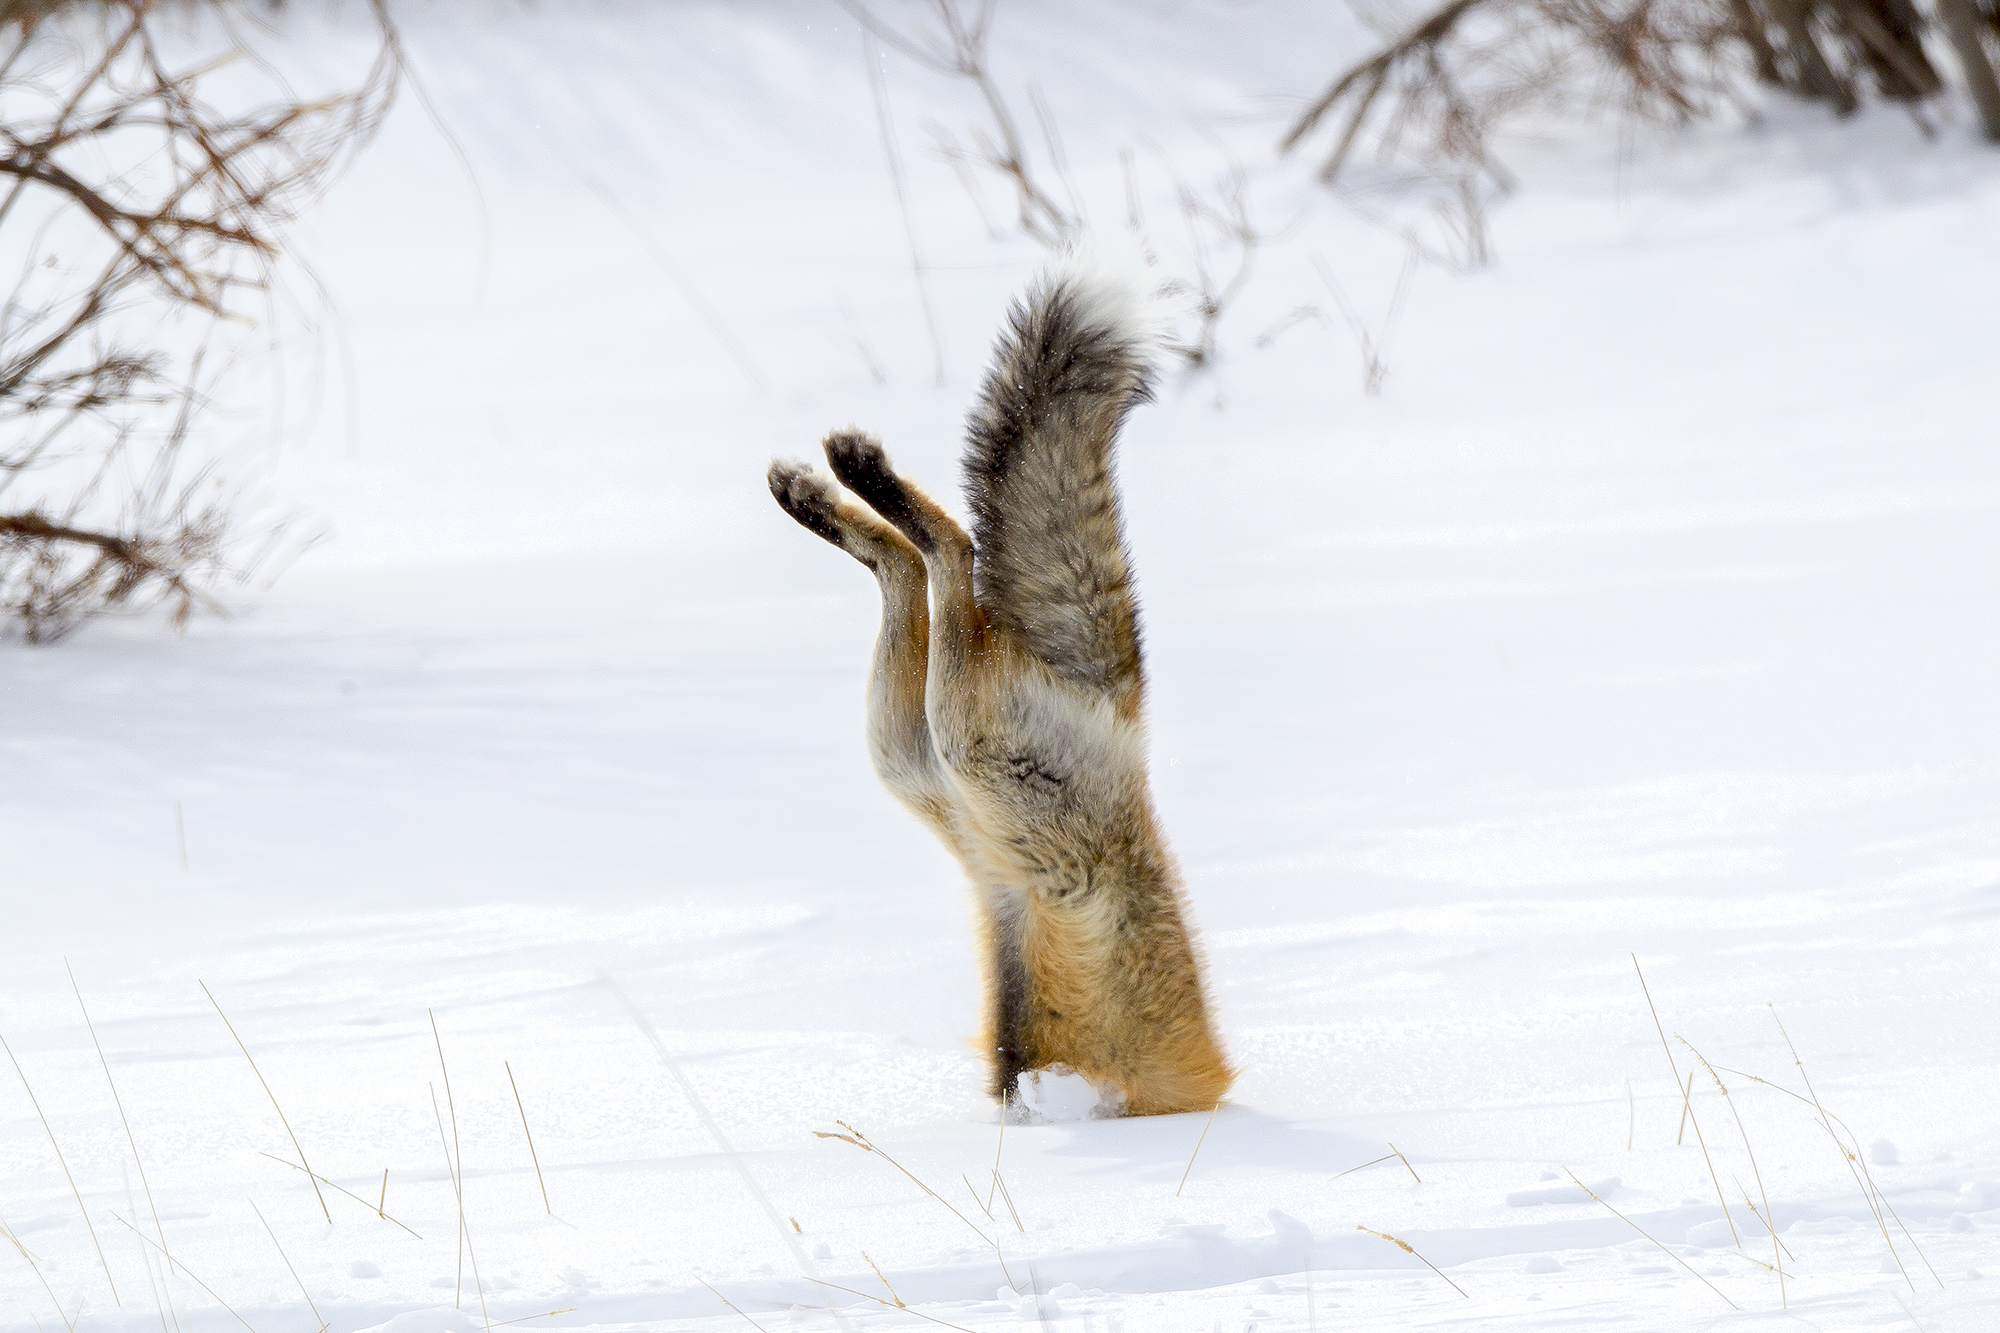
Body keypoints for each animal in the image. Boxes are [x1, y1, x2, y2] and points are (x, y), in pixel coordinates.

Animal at [766, 249, 1232, 1118]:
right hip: (942, 762)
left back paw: (840, 481)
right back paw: (832, 483)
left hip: (947, 754)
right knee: (932, 557)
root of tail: (1127, 730)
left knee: (937, 556)